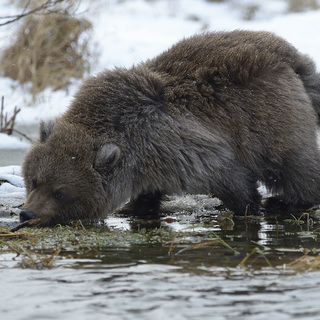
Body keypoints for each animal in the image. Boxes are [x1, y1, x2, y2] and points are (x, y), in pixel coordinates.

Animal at [19, 30, 320, 225]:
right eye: (34, 180)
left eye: (61, 192)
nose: (27, 213)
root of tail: (293, 56)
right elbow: (148, 190)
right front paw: (135, 205)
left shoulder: (176, 143)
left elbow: (226, 173)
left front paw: (247, 205)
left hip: (268, 114)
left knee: (292, 163)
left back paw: (287, 201)